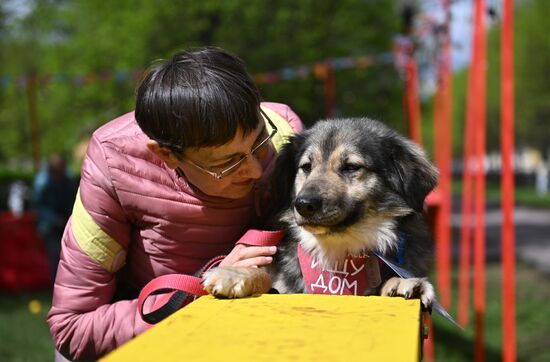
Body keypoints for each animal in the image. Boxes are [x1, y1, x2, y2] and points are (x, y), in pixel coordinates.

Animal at [203, 116, 440, 308]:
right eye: (306, 167)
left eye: (351, 167)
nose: (303, 205)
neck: (338, 253)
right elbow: (268, 277)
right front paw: (234, 274)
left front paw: (401, 282)